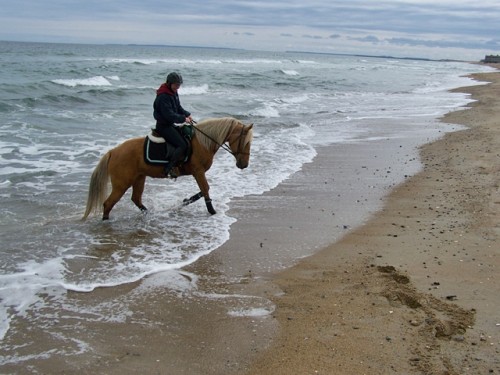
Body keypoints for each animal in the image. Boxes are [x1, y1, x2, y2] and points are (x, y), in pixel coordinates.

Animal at [84, 117, 254, 220]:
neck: (202, 142)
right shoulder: (198, 172)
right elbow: (205, 189)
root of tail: (113, 152)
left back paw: (149, 214)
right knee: (108, 204)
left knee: (136, 199)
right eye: (246, 142)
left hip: (139, 178)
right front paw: (211, 211)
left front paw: (185, 201)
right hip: (122, 184)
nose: (244, 164)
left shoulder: (197, 173)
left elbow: (202, 191)